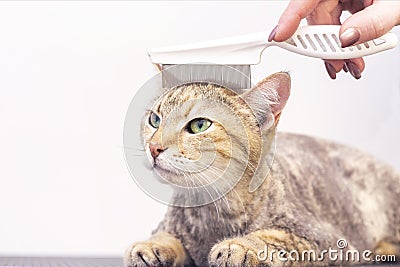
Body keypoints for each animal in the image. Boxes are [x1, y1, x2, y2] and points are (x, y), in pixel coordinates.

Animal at [123, 72, 398, 266]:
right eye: (155, 120)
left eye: (199, 125)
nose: (154, 147)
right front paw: (151, 246)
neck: (214, 211)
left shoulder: (327, 241)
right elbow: (166, 235)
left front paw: (240, 246)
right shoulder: (170, 224)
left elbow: (276, 237)